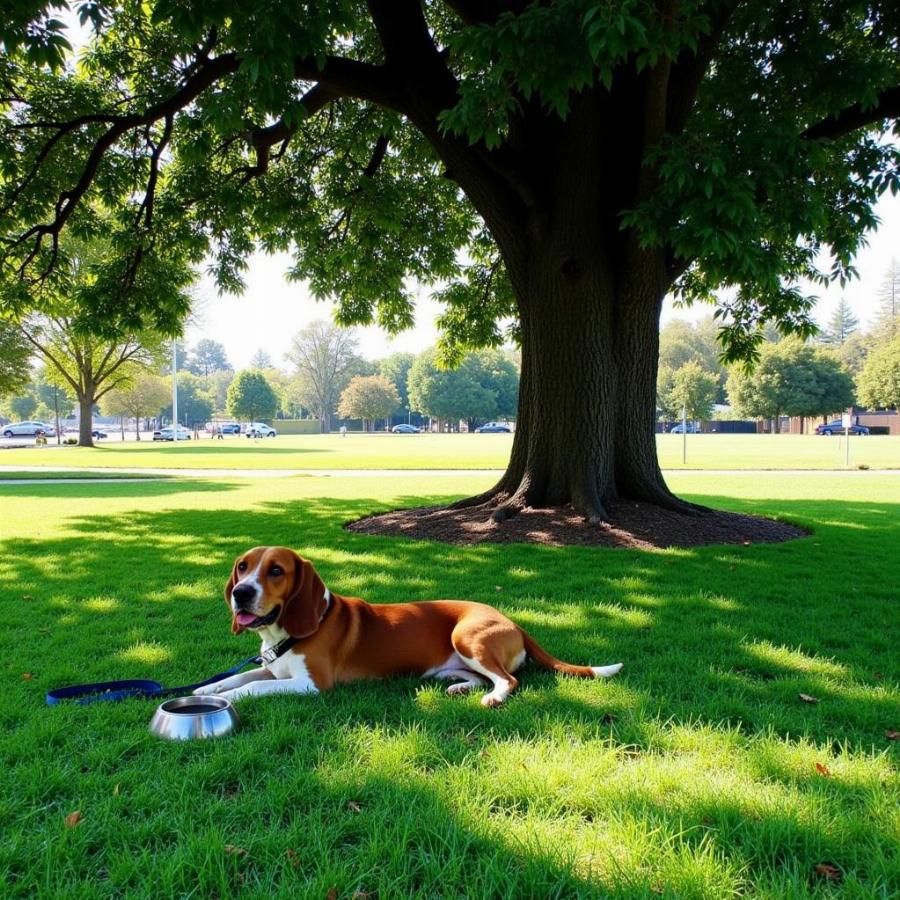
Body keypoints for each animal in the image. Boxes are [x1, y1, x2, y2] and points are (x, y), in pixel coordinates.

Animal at [195, 544, 620, 708]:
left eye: (276, 571)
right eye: (243, 567)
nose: (241, 594)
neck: (283, 634)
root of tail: (510, 619)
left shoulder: (312, 685)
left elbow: (255, 688)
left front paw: (231, 698)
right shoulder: (272, 668)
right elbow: (238, 678)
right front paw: (206, 689)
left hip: (466, 636)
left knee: (509, 680)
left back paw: (493, 697)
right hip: (456, 660)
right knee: (482, 676)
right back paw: (460, 686)